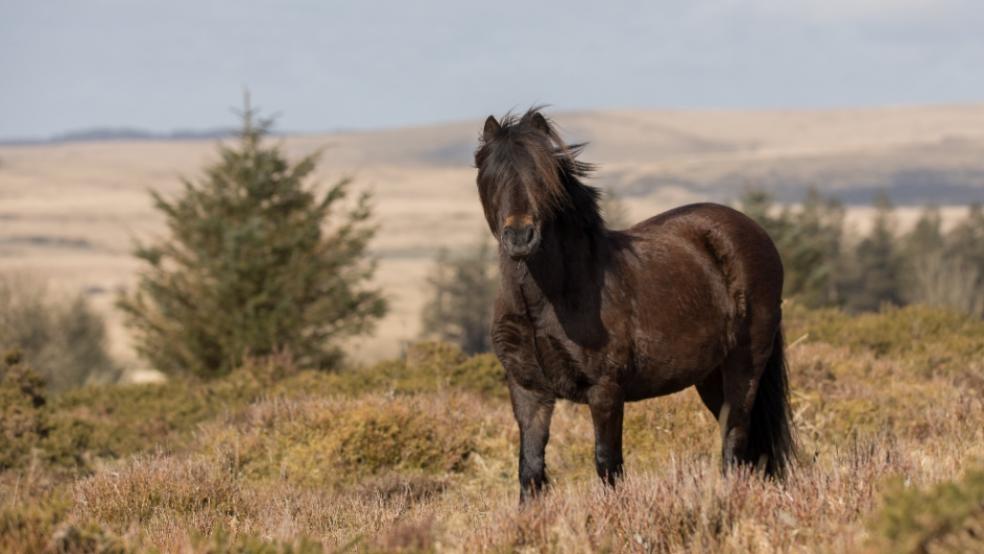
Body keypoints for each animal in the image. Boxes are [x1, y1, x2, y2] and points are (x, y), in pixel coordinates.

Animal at [472, 108, 796, 500]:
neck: (547, 302)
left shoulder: (606, 390)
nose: (520, 237)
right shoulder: (528, 391)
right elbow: (530, 470)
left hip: (744, 364)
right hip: (710, 375)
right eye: (490, 177)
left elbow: (607, 464)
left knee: (735, 437)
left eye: (543, 175)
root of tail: (754, 231)